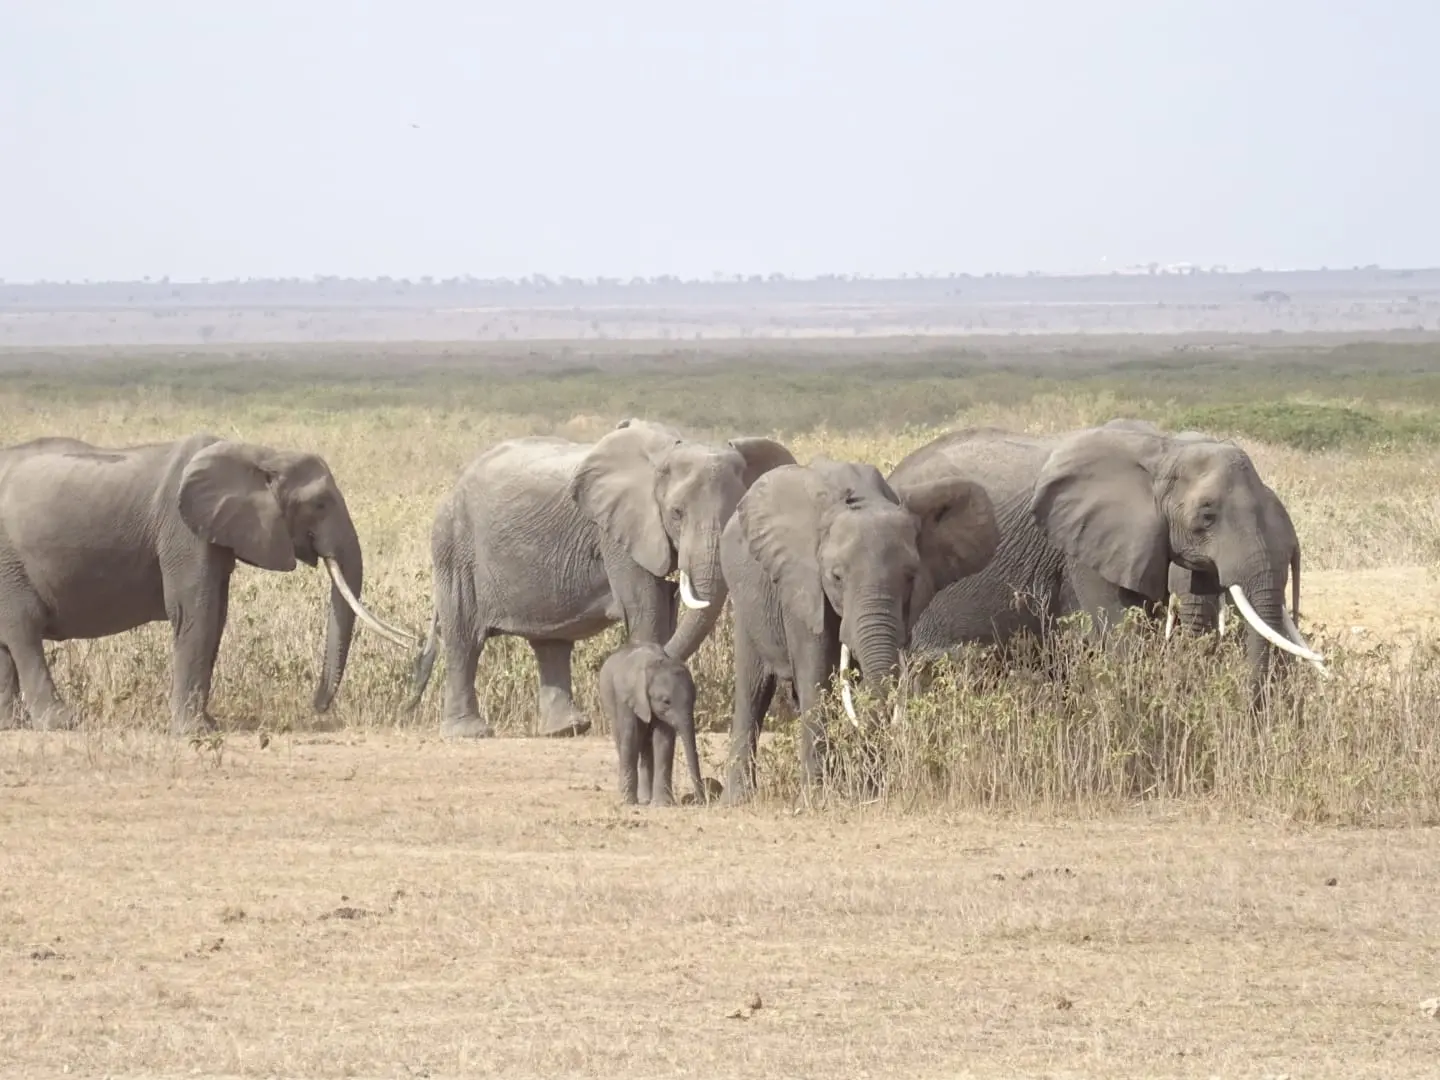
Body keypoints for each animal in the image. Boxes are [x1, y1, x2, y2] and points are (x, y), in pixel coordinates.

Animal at [0, 432, 409, 733]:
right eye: (321, 504)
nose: (317, 706)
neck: (260, 452)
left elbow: (217, 616)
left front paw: (208, 724)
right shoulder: (183, 531)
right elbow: (197, 612)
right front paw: (194, 732)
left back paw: (12, 726)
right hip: (8, 563)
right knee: (23, 628)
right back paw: (61, 722)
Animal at [409, 419, 796, 739]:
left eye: (737, 512)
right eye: (676, 513)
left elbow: (666, 610)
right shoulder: (617, 532)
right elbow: (646, 608)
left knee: (551, 643)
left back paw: (567, 729)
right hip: (454, 545)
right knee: (464, 637)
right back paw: (469, 733)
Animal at [598, 641, 705, 807]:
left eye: (694, 699)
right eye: (666, 701)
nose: (702, 800)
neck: (655, 664)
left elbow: (663, 740)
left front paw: (663, 804)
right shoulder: (627, 697)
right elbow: (631, 735)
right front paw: (628, 802)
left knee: (646, 745)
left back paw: (646, 799)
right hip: (608, 701)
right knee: (622, 738)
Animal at [717, 457, 999, 802]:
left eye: (910, 577)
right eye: (836, 577)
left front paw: (865, 794)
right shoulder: (802, 584)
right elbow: (816, 675)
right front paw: (819, 798)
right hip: (744, 597)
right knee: (753, 689)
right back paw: (739, 799)